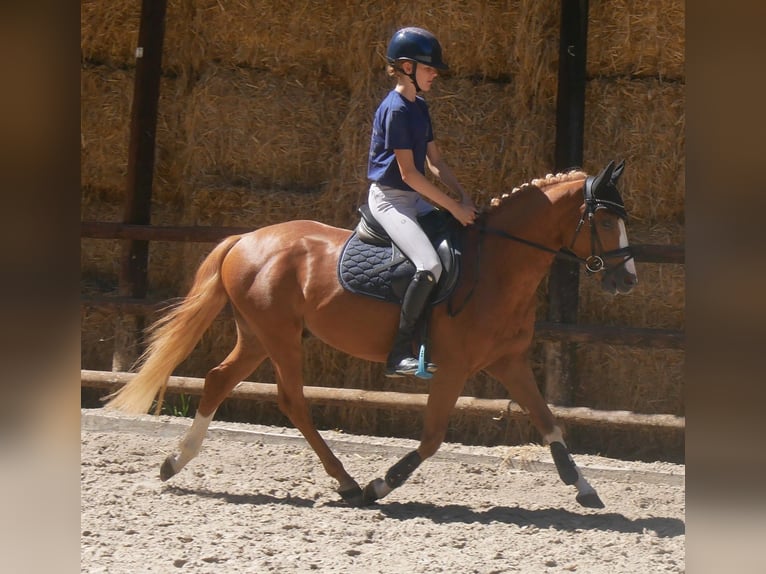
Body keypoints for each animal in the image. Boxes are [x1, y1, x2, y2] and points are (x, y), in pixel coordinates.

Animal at [105, 160, 640, 510]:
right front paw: (383, 484)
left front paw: (584, 487)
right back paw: (348, 483)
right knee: (291, 399)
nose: (627, 280)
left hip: (258, 335)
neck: (497, 266)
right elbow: (432, 438)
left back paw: (174, 462)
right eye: (605, 219)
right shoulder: (454, 368)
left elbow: (549, 421)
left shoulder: (509, 362)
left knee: (219, 379)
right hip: (279, 336)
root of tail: (247, 238)